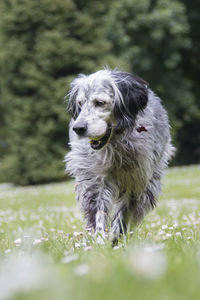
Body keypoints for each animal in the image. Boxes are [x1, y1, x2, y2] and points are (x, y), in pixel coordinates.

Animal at [65, 69, 174, 245]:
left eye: (100, 102)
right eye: (80, 104)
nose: (78, 128)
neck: (116, 144)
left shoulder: (135, 182)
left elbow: (122, 217)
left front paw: (115, 239)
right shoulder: (97, 179)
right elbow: (99, 212)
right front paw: (100, 240)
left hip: (150, 185)